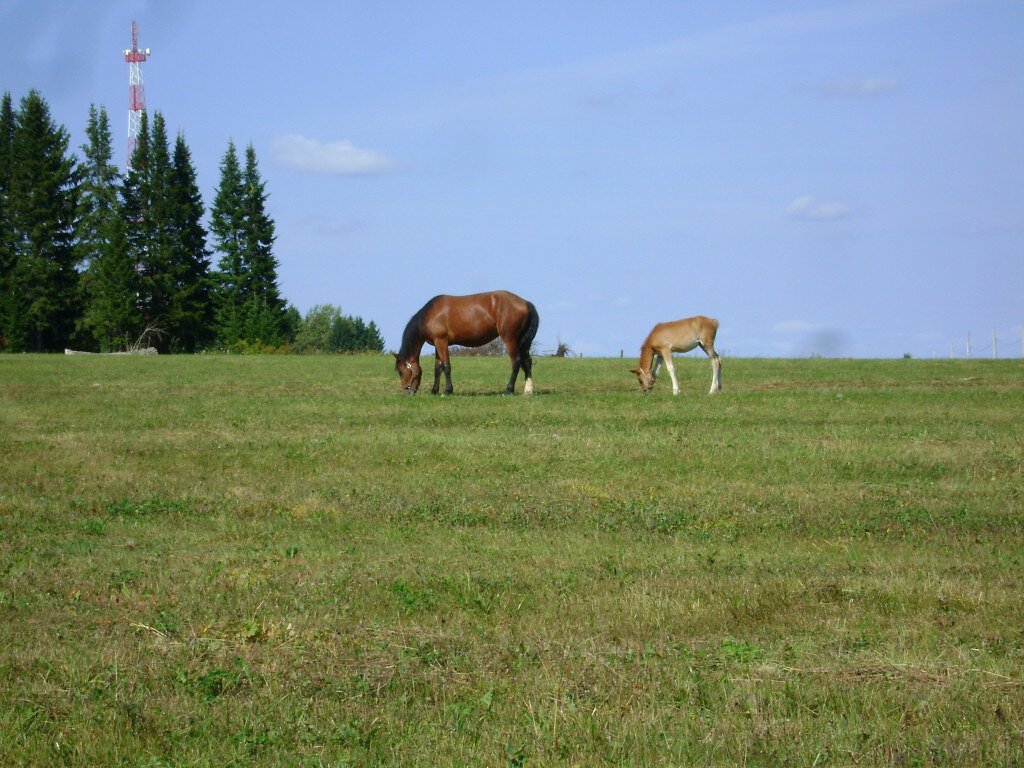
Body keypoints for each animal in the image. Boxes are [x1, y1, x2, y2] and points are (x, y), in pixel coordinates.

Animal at [395, 290, 540, 397]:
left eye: (401, 372)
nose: (406, 394)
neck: (430, 315)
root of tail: (525, 303)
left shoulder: (441, 342)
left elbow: (446, 367)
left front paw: (447, 391)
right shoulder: (437, 344)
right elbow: (437, 368)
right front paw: (434, 391)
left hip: (509, 338)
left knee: (516, 362)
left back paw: (508, 390)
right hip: (522, 342)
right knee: (527, 362)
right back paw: (528, 390)